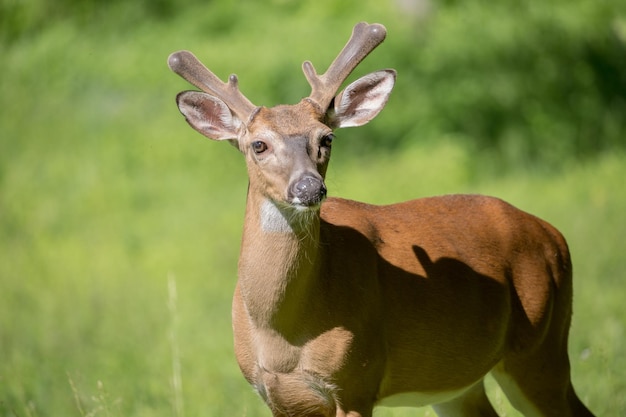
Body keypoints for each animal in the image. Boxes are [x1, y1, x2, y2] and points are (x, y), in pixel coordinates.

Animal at [167, 22, 596, 416]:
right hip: (458, 380)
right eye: (258, 144)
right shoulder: (276, 394)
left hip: (542, 347)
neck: (281, 334)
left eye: (326, 138)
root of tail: (554, 236)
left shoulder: (357, 377)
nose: (309, 188)